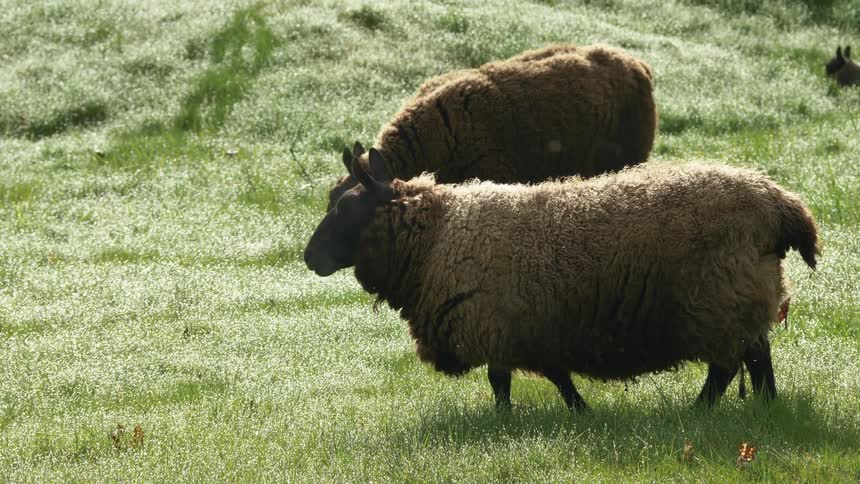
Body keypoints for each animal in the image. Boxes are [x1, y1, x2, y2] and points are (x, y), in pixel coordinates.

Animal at [305, 151, 820, 410]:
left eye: (344, 208)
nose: (308, 258)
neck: (436, 234)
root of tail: (777, 200)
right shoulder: (526, 324)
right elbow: (541, 374)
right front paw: (575, 410)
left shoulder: (499, 320)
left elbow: (507, 379)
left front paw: (521, 418)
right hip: (743, 294)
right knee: (758, 355)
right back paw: (767, 407)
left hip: (719, 298)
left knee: (728, 365)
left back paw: (700, 411)